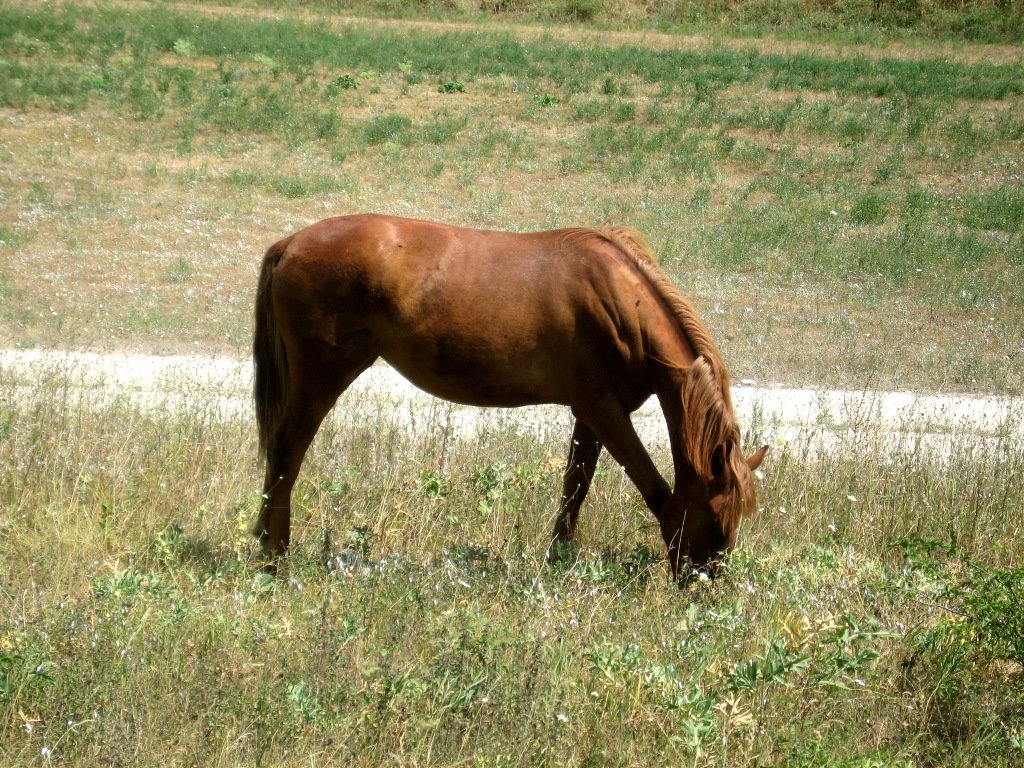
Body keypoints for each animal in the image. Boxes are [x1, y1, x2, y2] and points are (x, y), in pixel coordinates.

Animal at [253, 213, 767, 580]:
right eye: (717, 526)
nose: (702, 586)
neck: (619, 301)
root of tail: (289, 245)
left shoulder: (592, 413)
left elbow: (576, 485)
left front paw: (557, 558)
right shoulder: (603, 410)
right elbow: (651, 487)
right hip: (320, 380)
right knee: (286, 454)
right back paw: (275, 556)